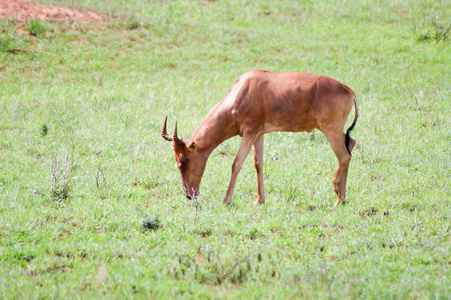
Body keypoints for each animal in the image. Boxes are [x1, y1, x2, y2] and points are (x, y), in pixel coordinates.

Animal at [161, 69, 358, 207]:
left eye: (182, 162)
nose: (189, 195)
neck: (245, 89)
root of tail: (348, 90)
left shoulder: (249, 132)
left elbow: (236, 164)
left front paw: (226, 200)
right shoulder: (258, 134)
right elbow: (258, 165)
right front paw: (259, 200)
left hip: (330, 130)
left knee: (344, 156)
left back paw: (339, 200)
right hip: (333, 129)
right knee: (351, 144)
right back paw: (336, 188)